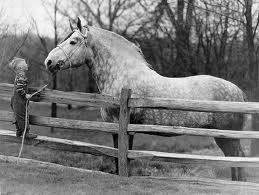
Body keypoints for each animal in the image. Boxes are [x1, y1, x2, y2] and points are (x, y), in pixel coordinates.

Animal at [44, 18, 248, 181]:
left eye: (73, 41)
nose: (49, 62)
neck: (122, 75)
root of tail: (240, 93)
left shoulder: (126, 129)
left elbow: (124, 157)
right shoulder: (114, 129)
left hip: (228, 137)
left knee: (238, 159)